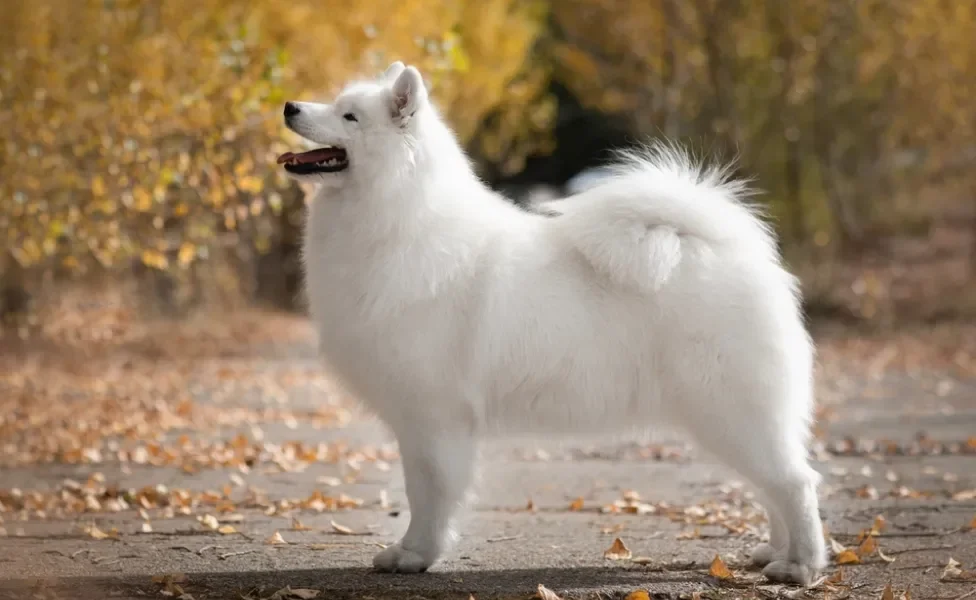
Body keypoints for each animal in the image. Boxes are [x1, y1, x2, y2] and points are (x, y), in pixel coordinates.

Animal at [278, 62, 828, 584]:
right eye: (335, 102)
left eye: (350, 116)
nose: (289, 106)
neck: (398, 217)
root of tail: (733, 249)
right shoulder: (420, 420)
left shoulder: (431, 417)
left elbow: (427, 495)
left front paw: (414, 555)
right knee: (774, 486)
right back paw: (773, 554)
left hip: (731, 412)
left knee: (795, 483)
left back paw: (801, 566)